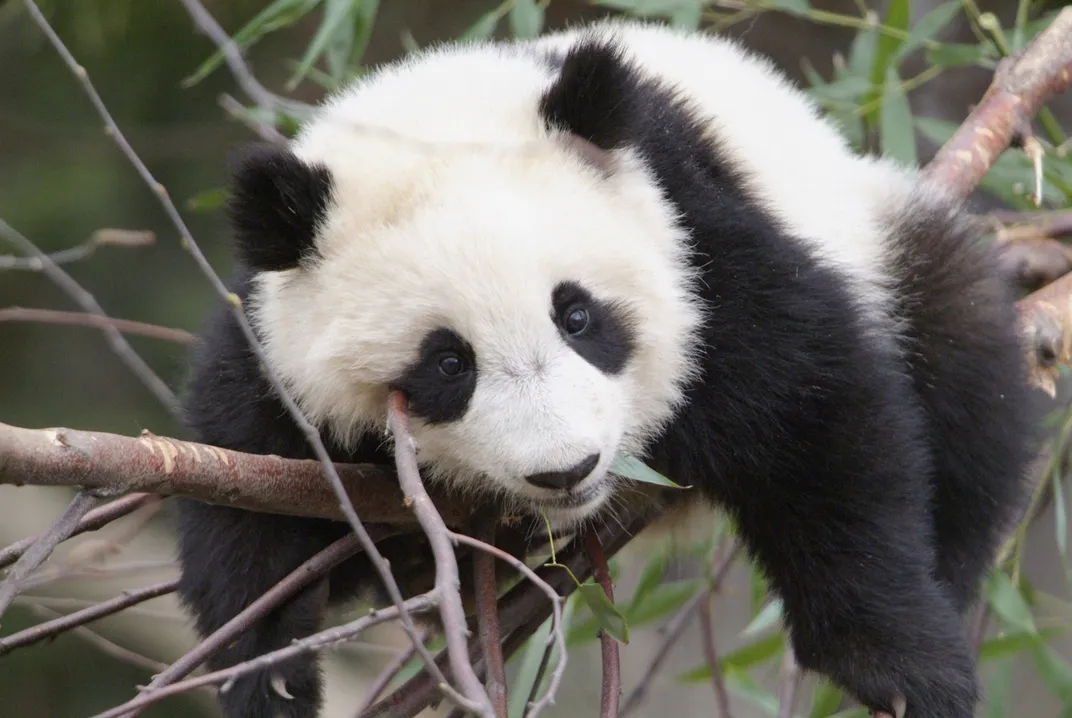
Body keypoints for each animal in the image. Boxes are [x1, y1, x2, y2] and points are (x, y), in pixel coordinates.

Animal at [173, 15, 1037, 718]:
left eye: (578, 316)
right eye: (448, 364)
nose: (566, 470)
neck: (440, 111)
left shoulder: (694, 238)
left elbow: (810, 410)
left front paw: (901, 665)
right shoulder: (274, 339)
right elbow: (242, 484)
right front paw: (271, 676)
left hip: (876, 233)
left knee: (963, 364)